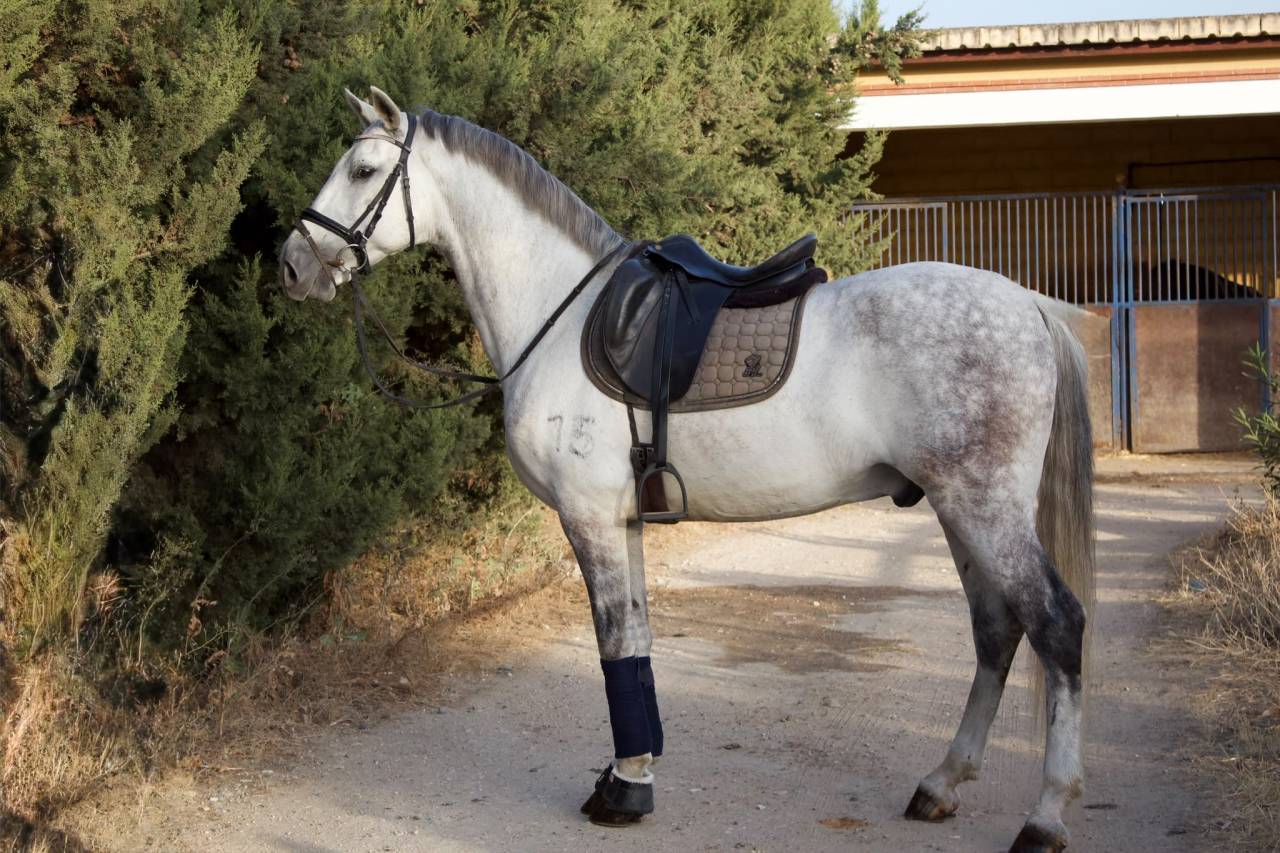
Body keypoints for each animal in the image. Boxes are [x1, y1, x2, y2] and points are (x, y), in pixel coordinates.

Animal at [278, 87, 1095, 853]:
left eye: (363, 171)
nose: (290, 264)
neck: (560, 317)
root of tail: (1028, 305)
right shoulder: (623, 520)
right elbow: (636, 640)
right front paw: (633, 773)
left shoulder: (589, 519)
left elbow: (613, 643)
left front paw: (624, 792)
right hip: (959, 510)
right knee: (996, 630)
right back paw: (942, 783)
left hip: (983, 507)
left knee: (1055, 624)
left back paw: (1046, 815)